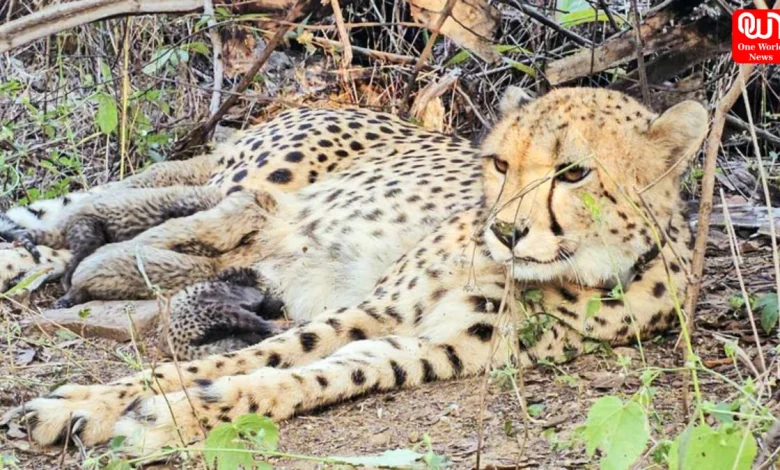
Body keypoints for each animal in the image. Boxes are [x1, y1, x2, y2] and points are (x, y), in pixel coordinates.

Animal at [0, 87, 708, 455]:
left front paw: (173, 415)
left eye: (574, 171)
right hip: (257, 179)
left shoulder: (433, 347)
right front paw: (89, 402)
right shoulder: (380, 306)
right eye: (501, 163)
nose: (505, 231)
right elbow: (250, 355)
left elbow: (313, 375)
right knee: (98, 217)